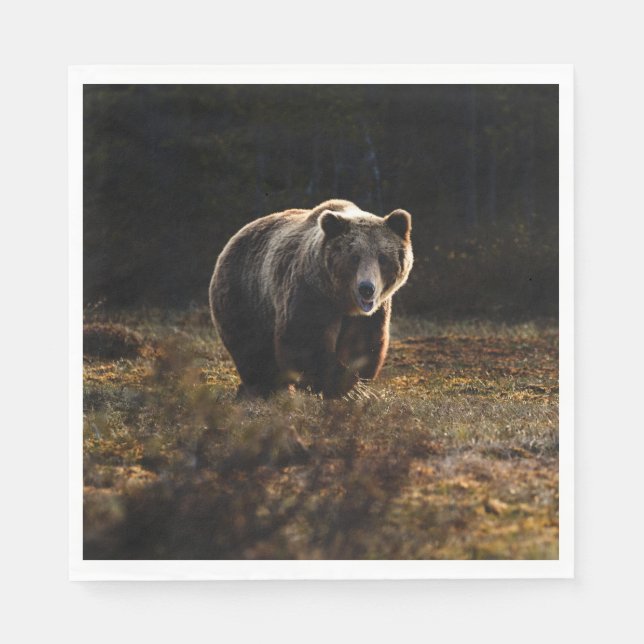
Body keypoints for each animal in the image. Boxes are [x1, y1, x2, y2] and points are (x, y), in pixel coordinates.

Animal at [209, 199, 413, 399]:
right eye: (354, 257)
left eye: (382, 257)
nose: (367, 289)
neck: (342, 300)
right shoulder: (311, 294)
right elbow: (305, 340)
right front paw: (339, 385)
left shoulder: (371, 314)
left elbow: (362, 344)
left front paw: (354, 384)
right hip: (245, 295)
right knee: (251, 348)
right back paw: (263, 388)